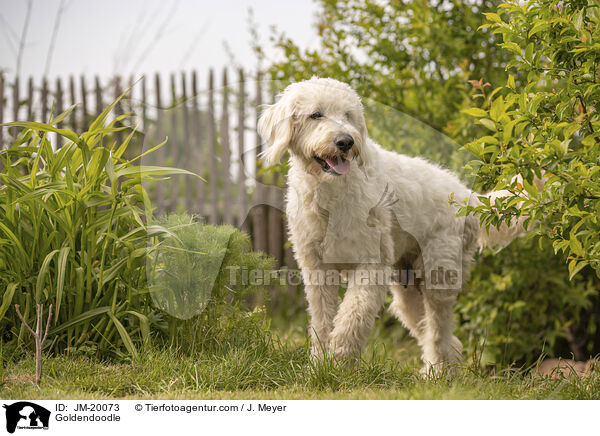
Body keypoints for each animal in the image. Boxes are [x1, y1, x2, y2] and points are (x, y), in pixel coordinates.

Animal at [258, 77, 524, 372]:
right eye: (316, 114)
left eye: (348, 115)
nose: (346, 141)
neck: (331, 193)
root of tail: (469, 198)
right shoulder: (317, 271)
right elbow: (322, 322)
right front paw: (320, 364)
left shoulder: (371, 265)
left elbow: (352, 316)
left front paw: (339, 361)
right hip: (407, 291)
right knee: (442, 337)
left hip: (439, 276)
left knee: (439, 331)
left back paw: (438, 373)